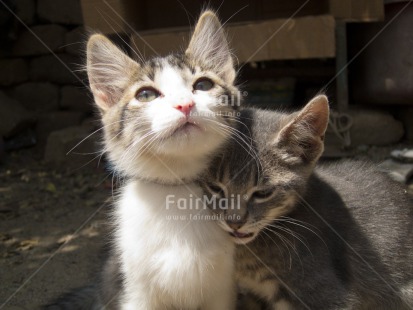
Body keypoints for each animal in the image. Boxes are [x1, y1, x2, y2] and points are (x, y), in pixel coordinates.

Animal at [85, 10, 237, 310]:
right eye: (146, 94)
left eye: (203, 85)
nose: (185, 104)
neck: (177, 192)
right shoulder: (134, 292)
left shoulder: (223, 290)